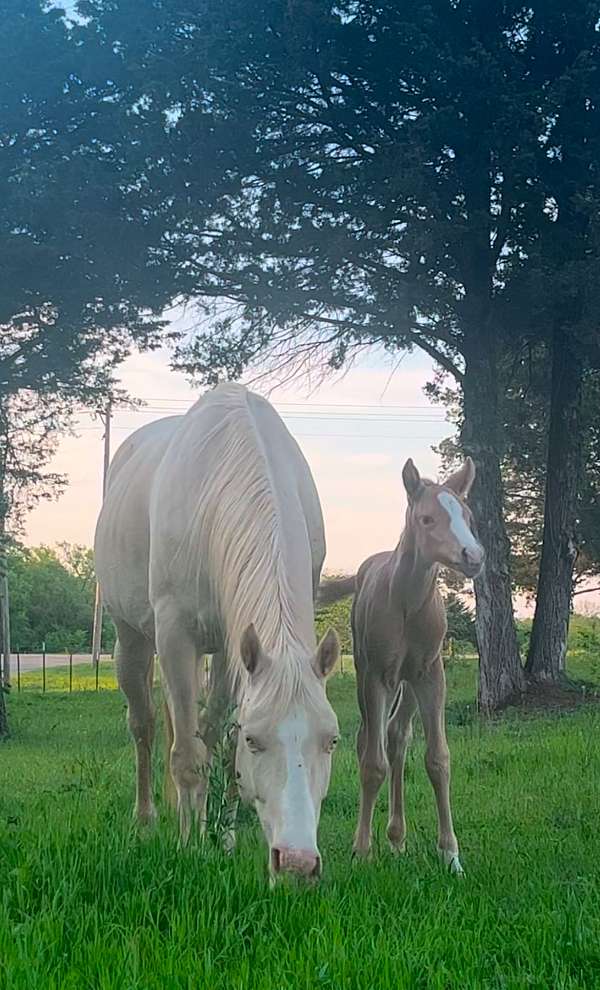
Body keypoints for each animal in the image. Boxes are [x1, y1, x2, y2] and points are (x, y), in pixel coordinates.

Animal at [93, 384, 338, 880]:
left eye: (332, 740)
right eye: (255, 739)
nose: (297, 863)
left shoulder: (233, 647)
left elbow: (215, 742)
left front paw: (221, 840)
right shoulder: (175, 634)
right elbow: (189, 756)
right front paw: (189, 846)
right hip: (133, 637)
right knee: (145, 725)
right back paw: (147, 819)